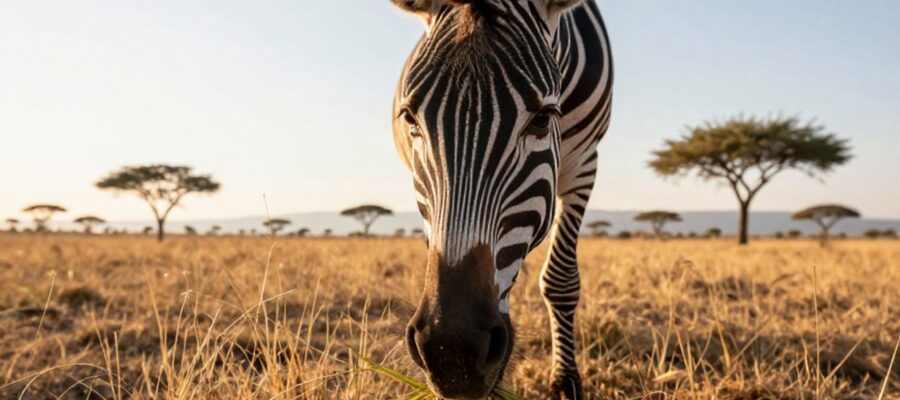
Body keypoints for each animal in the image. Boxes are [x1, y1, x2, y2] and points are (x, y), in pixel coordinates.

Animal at [390, 0, 612, 398]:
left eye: (543, 118)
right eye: (410, 118)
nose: (452, 354)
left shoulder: (584, 163)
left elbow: (561, 281)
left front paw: (565, 381)